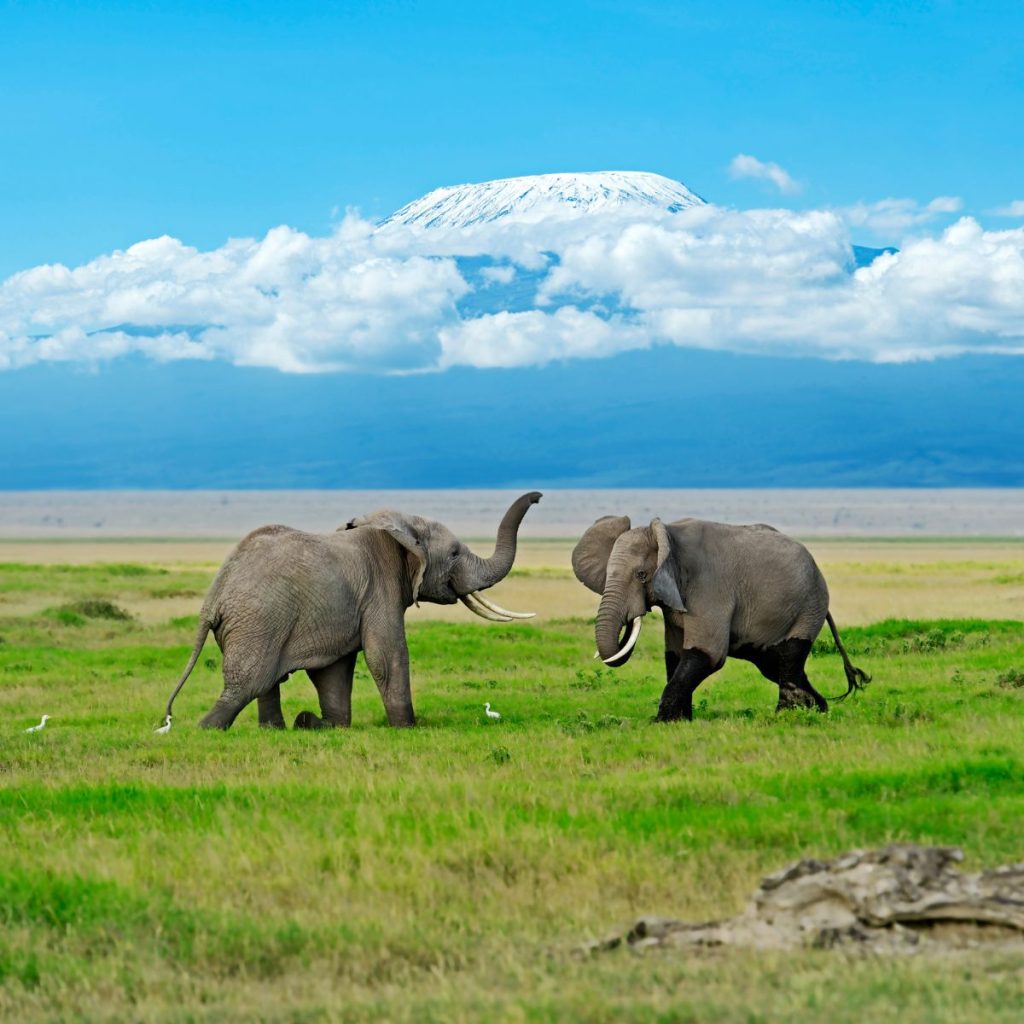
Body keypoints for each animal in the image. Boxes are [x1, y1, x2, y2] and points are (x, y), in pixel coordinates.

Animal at [163, 492, 542, 730]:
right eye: (453, 554)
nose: (538, 497)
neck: (400, 529)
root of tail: (215, 595)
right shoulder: (380, 589)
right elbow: (387, 655)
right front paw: (407, 728)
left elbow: (335, 670)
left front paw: (325, 724)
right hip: (258, 620)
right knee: (248, 684)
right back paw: (205, 729)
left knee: (265, 682)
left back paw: (281, 728)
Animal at [571, 515, 869, 721]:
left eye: (641, 575)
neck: (667, 534)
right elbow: (675, 656)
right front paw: (679, 722)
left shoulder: (709, 587)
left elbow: (707, 653)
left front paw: (660, 722)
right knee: (775, 665)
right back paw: (819, 710)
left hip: (809, 606)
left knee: (788, 659)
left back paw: (786, 716)